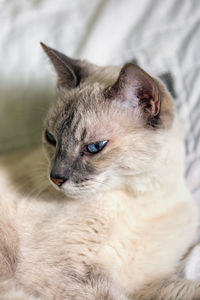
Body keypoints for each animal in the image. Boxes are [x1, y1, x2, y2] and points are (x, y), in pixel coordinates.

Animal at [0, 42, 199, 300]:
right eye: (51, 138)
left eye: (94, 147)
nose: (56, 178)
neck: (143, 199)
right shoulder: (69, 274)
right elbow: (113, 296)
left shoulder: (148, 285)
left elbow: (185, 289)